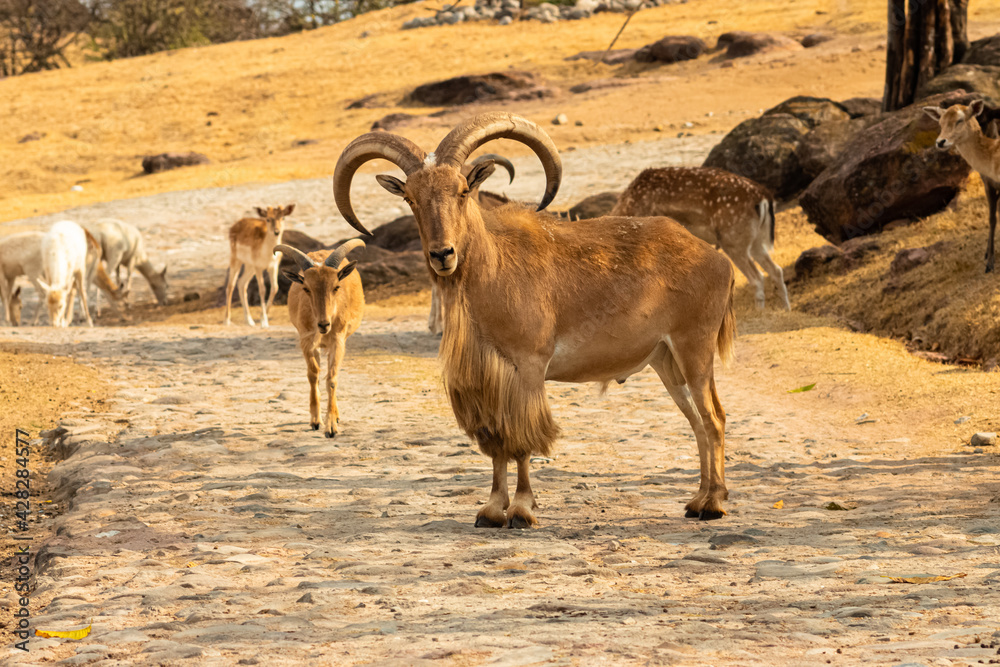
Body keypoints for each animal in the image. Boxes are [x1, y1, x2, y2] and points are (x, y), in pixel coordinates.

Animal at [277, 239, 366, 438]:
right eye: (306, 288)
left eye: (336, 287)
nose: (324, 324)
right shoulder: (306, 340)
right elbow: (313, 375)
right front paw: (316, 421)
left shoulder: (338, 341)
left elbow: (332, 378)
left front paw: (331, 426)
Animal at [334, 112, 737, 526]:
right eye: (411, 199)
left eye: (462, 191)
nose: (442, 254)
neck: (494, 269)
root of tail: (716, 259)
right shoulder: (487, 380)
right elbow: (497, 444)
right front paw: (491, 509)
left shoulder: (528, 368)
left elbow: (523, 441)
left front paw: (522, 509)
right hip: (666, 362)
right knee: (698, 422)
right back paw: (698, 500)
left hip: (694, 348)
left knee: (714, 418)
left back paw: (713, 504)